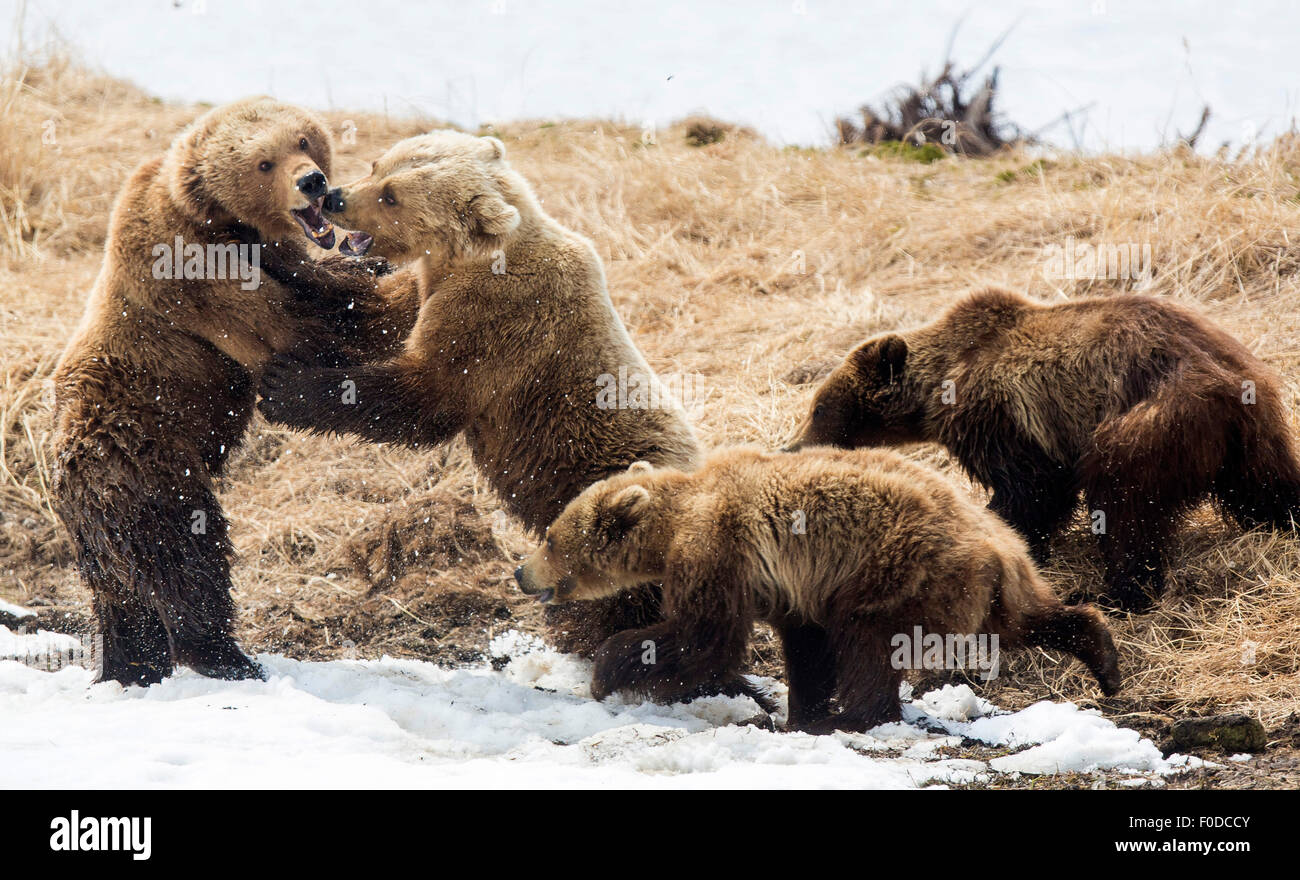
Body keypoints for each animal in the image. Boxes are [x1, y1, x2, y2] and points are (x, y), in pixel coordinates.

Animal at [253, 130, 712, 662]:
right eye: (377, 165)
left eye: (392, 196)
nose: (333, 197)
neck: (468, 258)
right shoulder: (429, 291)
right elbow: (372, 312)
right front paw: (281, 261)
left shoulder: (492, 323)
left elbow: (425, 397)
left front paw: (285, 386)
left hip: (611, 514)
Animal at [506, 449, 1118, 733]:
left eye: (552, 538)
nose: (520, 572)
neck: (672, 525)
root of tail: (997, 551)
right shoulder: (792, 586)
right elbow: (805, 644)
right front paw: (800, 707)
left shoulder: (717, 553)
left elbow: (703, 636)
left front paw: (607, 672)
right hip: (995, 584)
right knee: (1031, 619)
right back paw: (1104, 659)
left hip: (903, 573)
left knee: (869, 642)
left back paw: (858, 715)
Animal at [785, 288, 1300, 610]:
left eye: (819, 407)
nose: (792, 446)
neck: (937, 388)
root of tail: (1227, 381)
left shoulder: (1000, 413)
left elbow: (1032, 487)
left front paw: (1007, 538)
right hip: (1256, 430)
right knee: (1269, 486)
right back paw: (1286, 522)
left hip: (1153, 416)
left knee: (1124, 499)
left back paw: (1119, 592)